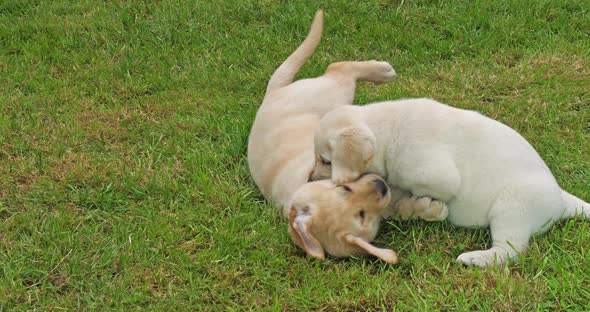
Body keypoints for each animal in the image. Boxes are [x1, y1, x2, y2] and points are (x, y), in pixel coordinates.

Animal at [247, 11, 442, 262]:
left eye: (344, 189)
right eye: (362, 215)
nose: (380, 186)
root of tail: (270, 95)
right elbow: (401, 207)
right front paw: (429, 208)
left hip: (330, 93)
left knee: (338, 67)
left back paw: (382, 71)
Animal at [312, 98, 588, 266]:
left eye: (326, 161)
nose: (310, 178)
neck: (386, 130)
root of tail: (561, 199)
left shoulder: (433, 174)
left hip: (513, 208)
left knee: (510, 252)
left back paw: (475, 259)